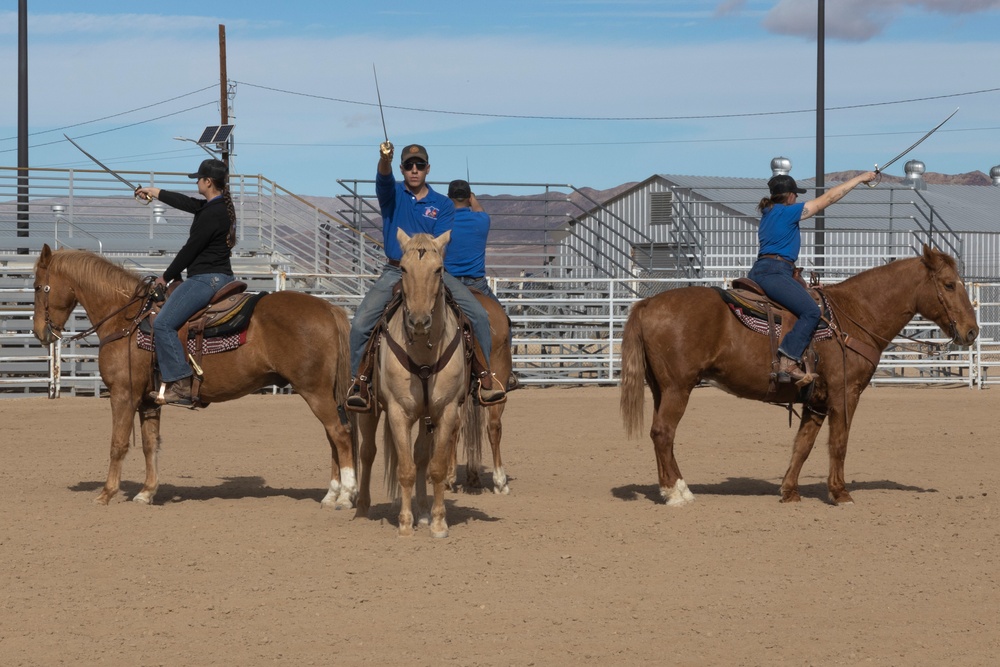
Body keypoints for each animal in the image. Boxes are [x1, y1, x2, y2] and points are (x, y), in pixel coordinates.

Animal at [32, 243, 360, 508]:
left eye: (37, 287)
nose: (39, 333)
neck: (127, 320)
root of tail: (330, 309)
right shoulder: (148, 400)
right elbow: (151, 444)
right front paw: (146, 492)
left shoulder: (123, 394)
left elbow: (118, 443)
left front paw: (106, 493)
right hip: (324, 392)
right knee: (333, 436)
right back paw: (331, 495)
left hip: (314, 391)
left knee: (340, 433)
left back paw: (345, 496)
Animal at [356, 231, 472, 536]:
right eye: (405, 269)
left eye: (438, 269)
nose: (419, 321)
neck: (422, 352)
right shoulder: (398, 411)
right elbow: (405, 469)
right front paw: (405, 524)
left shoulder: (446, 410)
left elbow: (435, 467)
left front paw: (438, 522)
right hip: (368, 410)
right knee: (367, 453)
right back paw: (361, 508)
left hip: (426, 415)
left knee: (420, 455)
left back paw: (422, 511)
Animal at [620, 245, 980, 506]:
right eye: (949, 284)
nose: (972, 331)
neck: (854, 316)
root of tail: (648, 303)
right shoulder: (845, 393)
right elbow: (839, 442)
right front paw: (840, 493)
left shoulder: (816, 401)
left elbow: (803, 445)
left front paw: (790, 491)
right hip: (678, 388)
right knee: (664, 433)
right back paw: (677, 493)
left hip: (661, 388)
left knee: (658, 434)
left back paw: (670, 488)